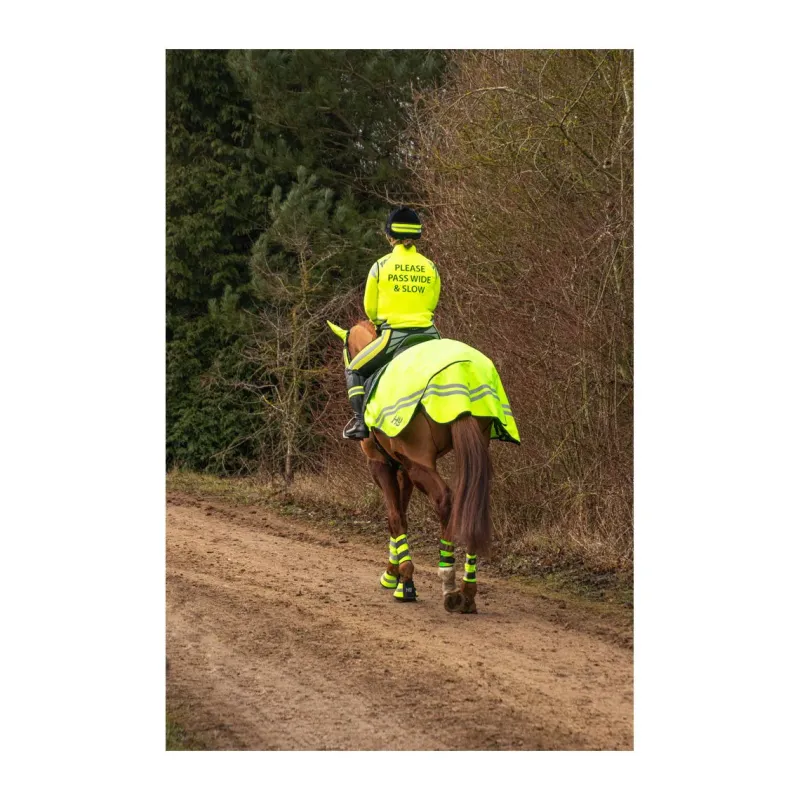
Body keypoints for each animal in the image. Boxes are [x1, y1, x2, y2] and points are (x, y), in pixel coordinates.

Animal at [328, 319, 519, 614]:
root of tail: (459, 373)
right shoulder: (405, 469)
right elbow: (402, 516)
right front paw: (395, 574)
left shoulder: (382, 465)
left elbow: (395, 518)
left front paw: (402, 580)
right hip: (468, 450)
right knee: (470, 502)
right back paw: (468, 591)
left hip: (419, 464)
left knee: (446, 500)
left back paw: (449, 583)